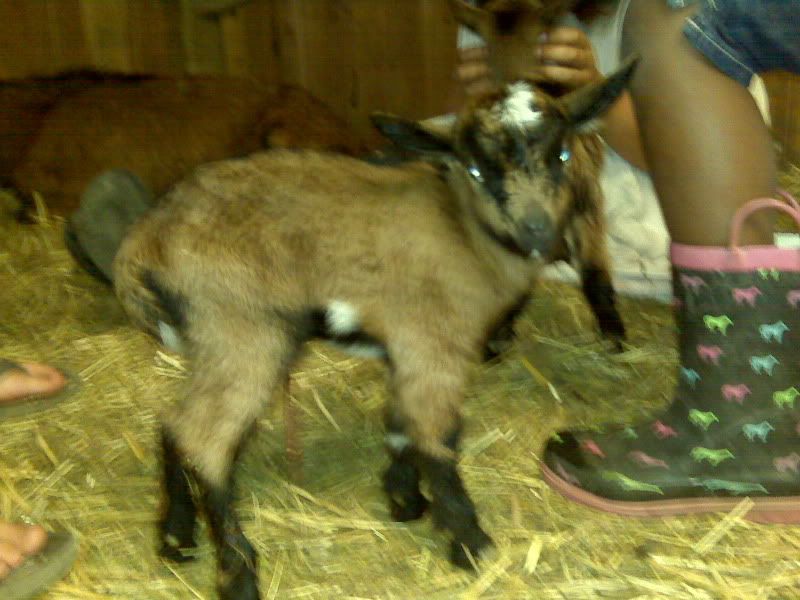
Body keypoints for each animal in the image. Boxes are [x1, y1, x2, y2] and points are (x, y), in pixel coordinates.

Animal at [112, 59, 636, 599]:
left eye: (561, 153)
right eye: (475, 169)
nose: (536, 229)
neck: (464, 230)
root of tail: (145, 241)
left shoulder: (404, 348)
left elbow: (402, 426)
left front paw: (405, 501)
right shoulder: (433, 341)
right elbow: (436, 435)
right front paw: (468, 541)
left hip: (217, 339)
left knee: (175, 425)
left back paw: (175, 537)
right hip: (243, 331)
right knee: (205, 441)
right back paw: (238, 574)